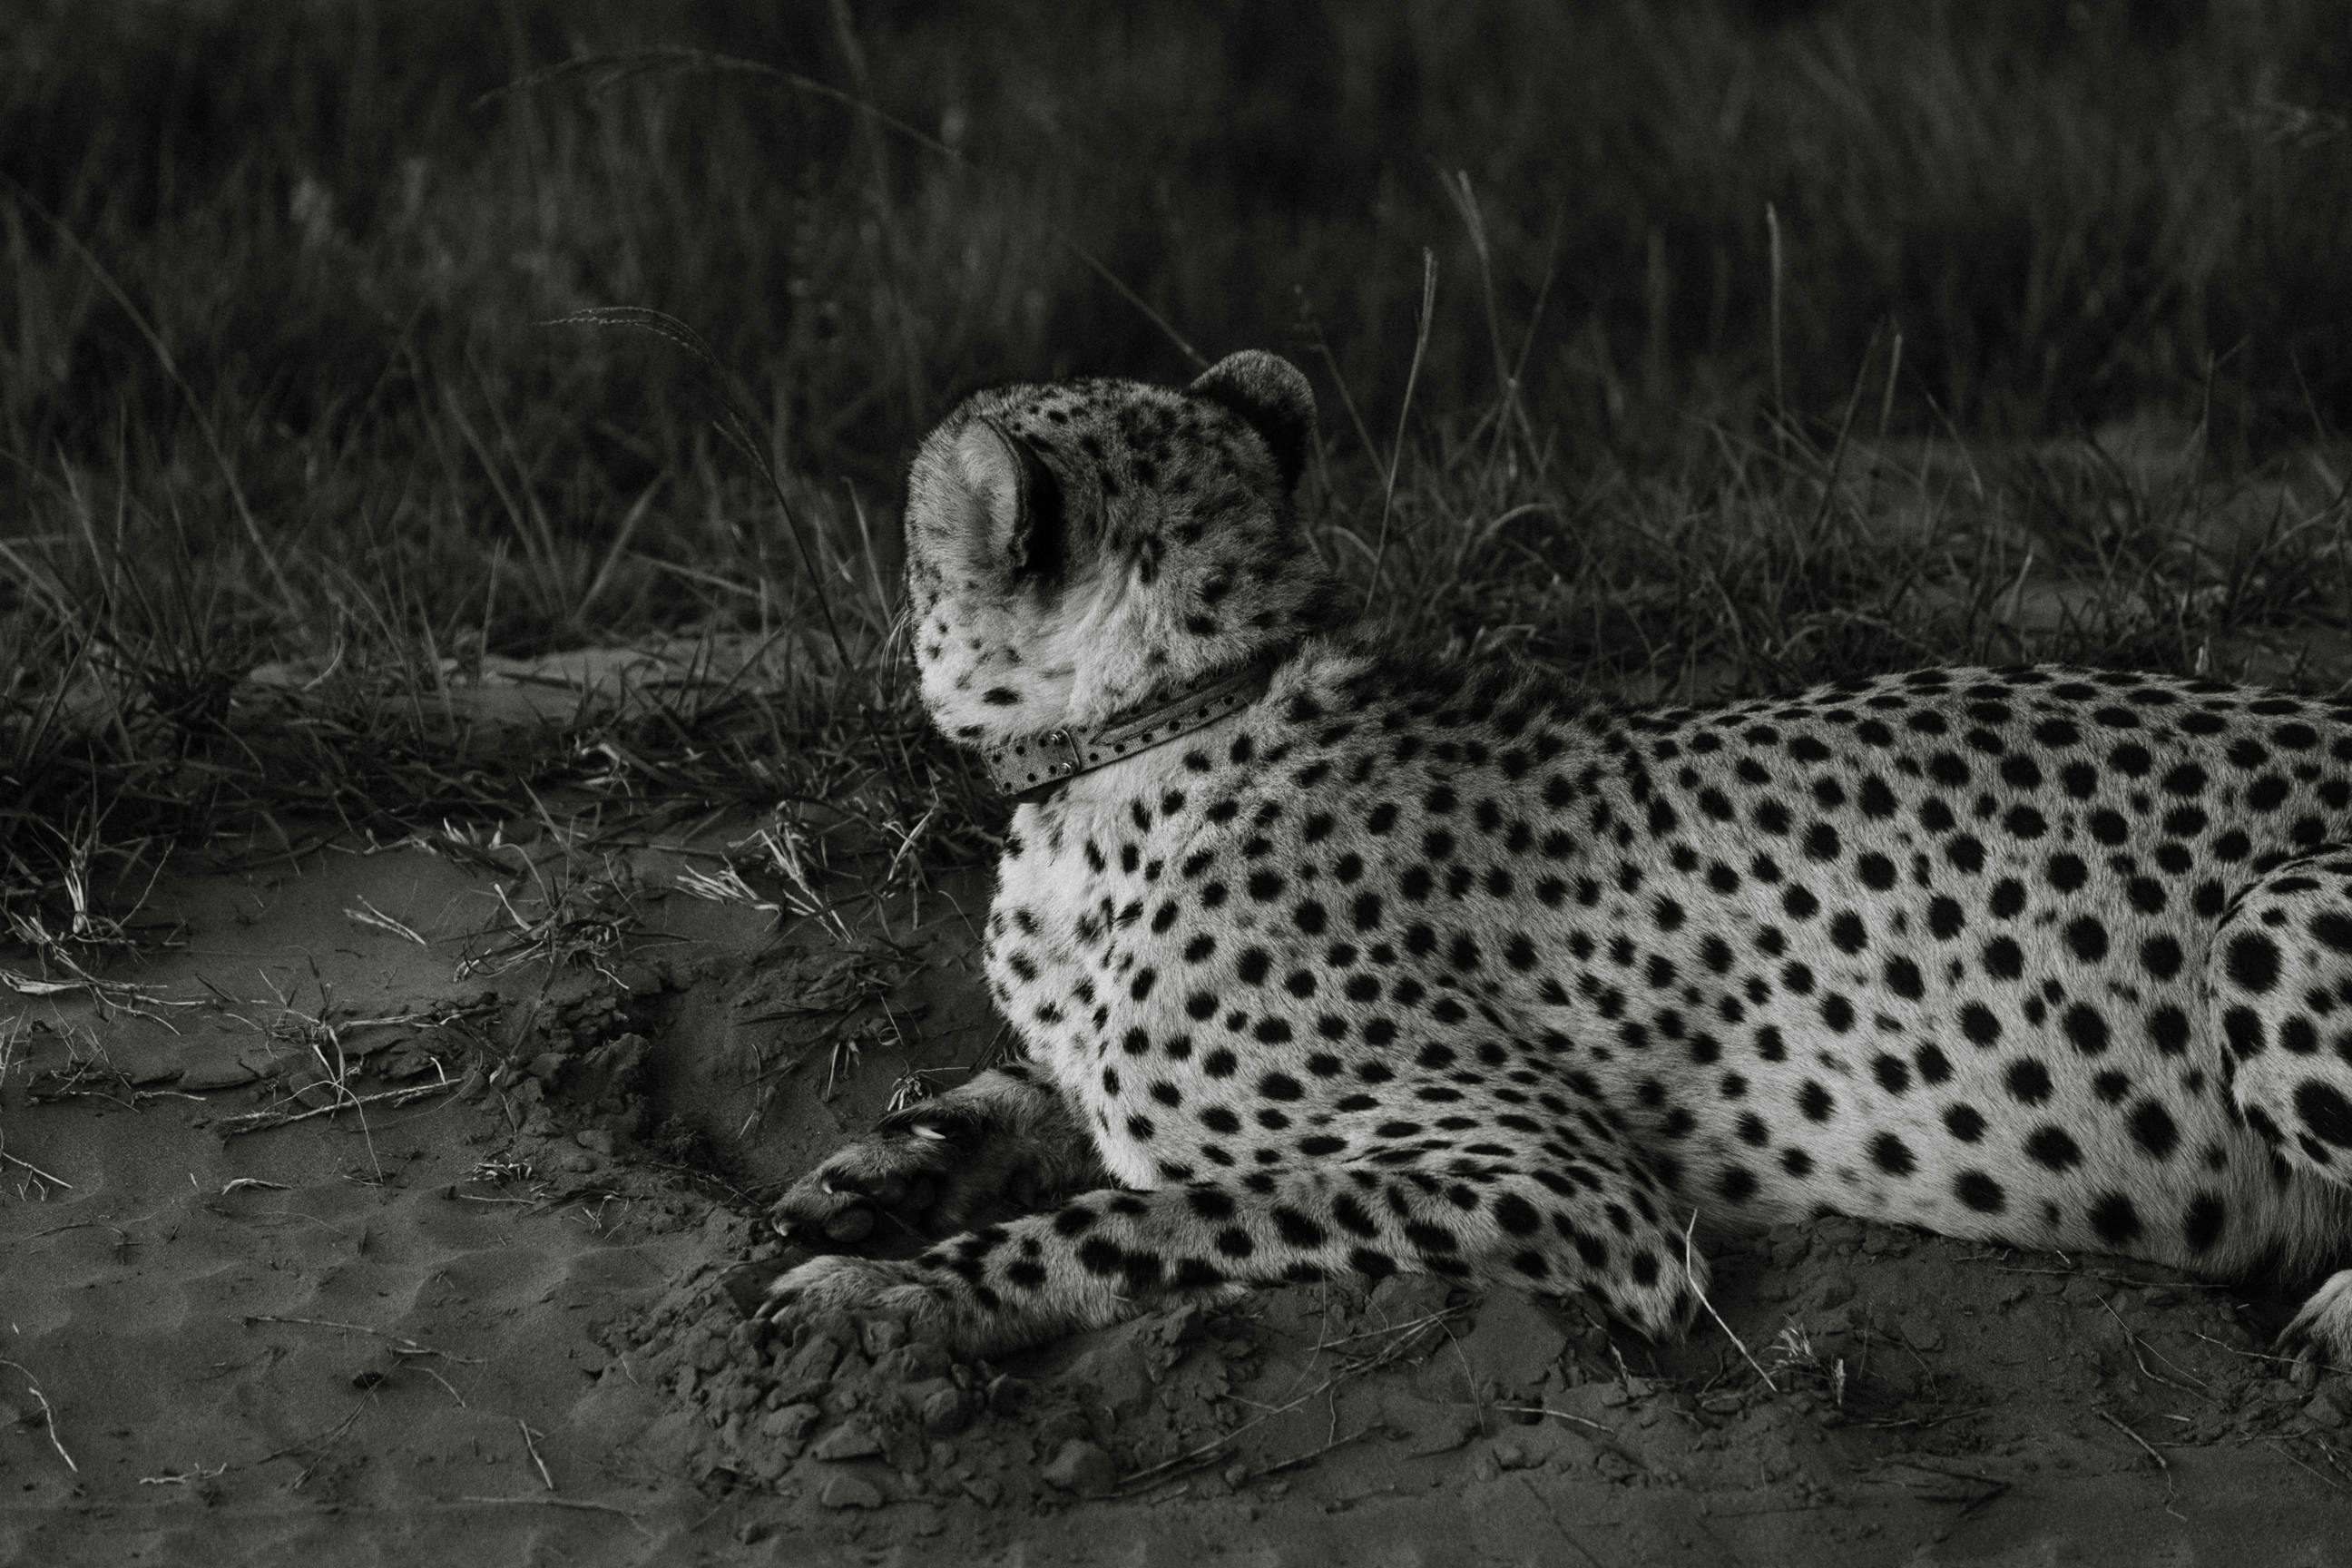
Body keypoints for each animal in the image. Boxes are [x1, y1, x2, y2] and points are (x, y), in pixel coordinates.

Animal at [757, 350, 2352, 1363]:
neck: (1173, 709)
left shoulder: (1574, 1188)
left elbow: (1152, 1213)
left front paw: (895, 1297)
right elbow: (1026, 1093)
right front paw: (883, 1174)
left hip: (2271, 919)